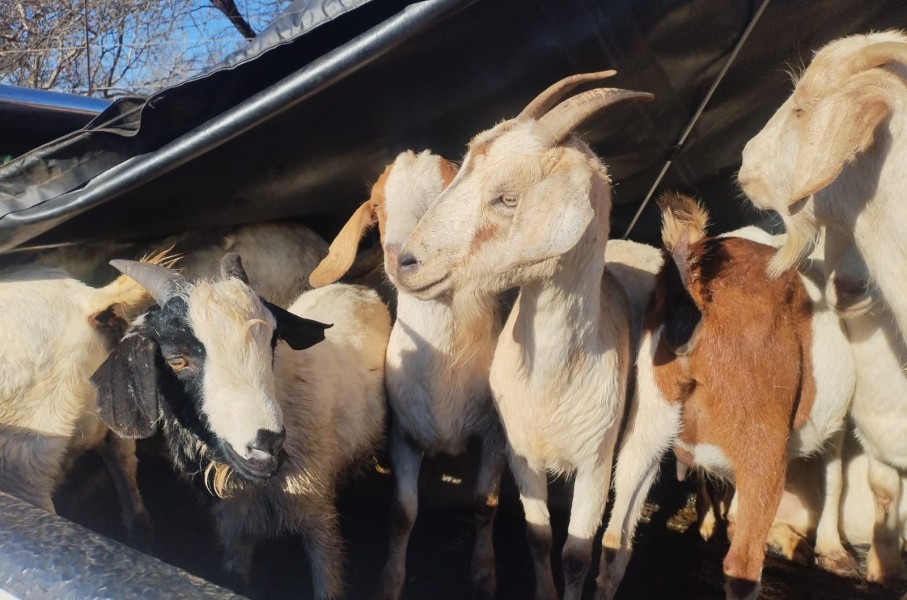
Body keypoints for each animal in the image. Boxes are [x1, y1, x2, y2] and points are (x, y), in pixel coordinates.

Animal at [91, 254, 390, 599]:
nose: (267, 444)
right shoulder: (233, 525)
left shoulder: (319, 514)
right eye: (176, 360)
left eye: (273, 339)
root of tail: (355, 288)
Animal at [308, 150, 507, 600]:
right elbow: (402, 512)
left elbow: (484, 504)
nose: (402, 260)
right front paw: (388, 583)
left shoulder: (493, 435)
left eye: (449, 195)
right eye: (377, 205)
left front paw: (484, 575)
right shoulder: (403, 434)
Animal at [391, 71, 653, 600]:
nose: (408, 262)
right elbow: (538, 537)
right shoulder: (520, 456)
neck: (551, 382)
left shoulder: (596, 462)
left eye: (508, 198)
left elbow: (576, 554)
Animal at [601, 193, 853, 600]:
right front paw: (834, 553)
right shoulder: (839, 424)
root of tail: (692, 277)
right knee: (742, 564)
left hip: (650, 417)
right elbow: (835, 472)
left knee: (615, 540)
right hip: (762, 442)